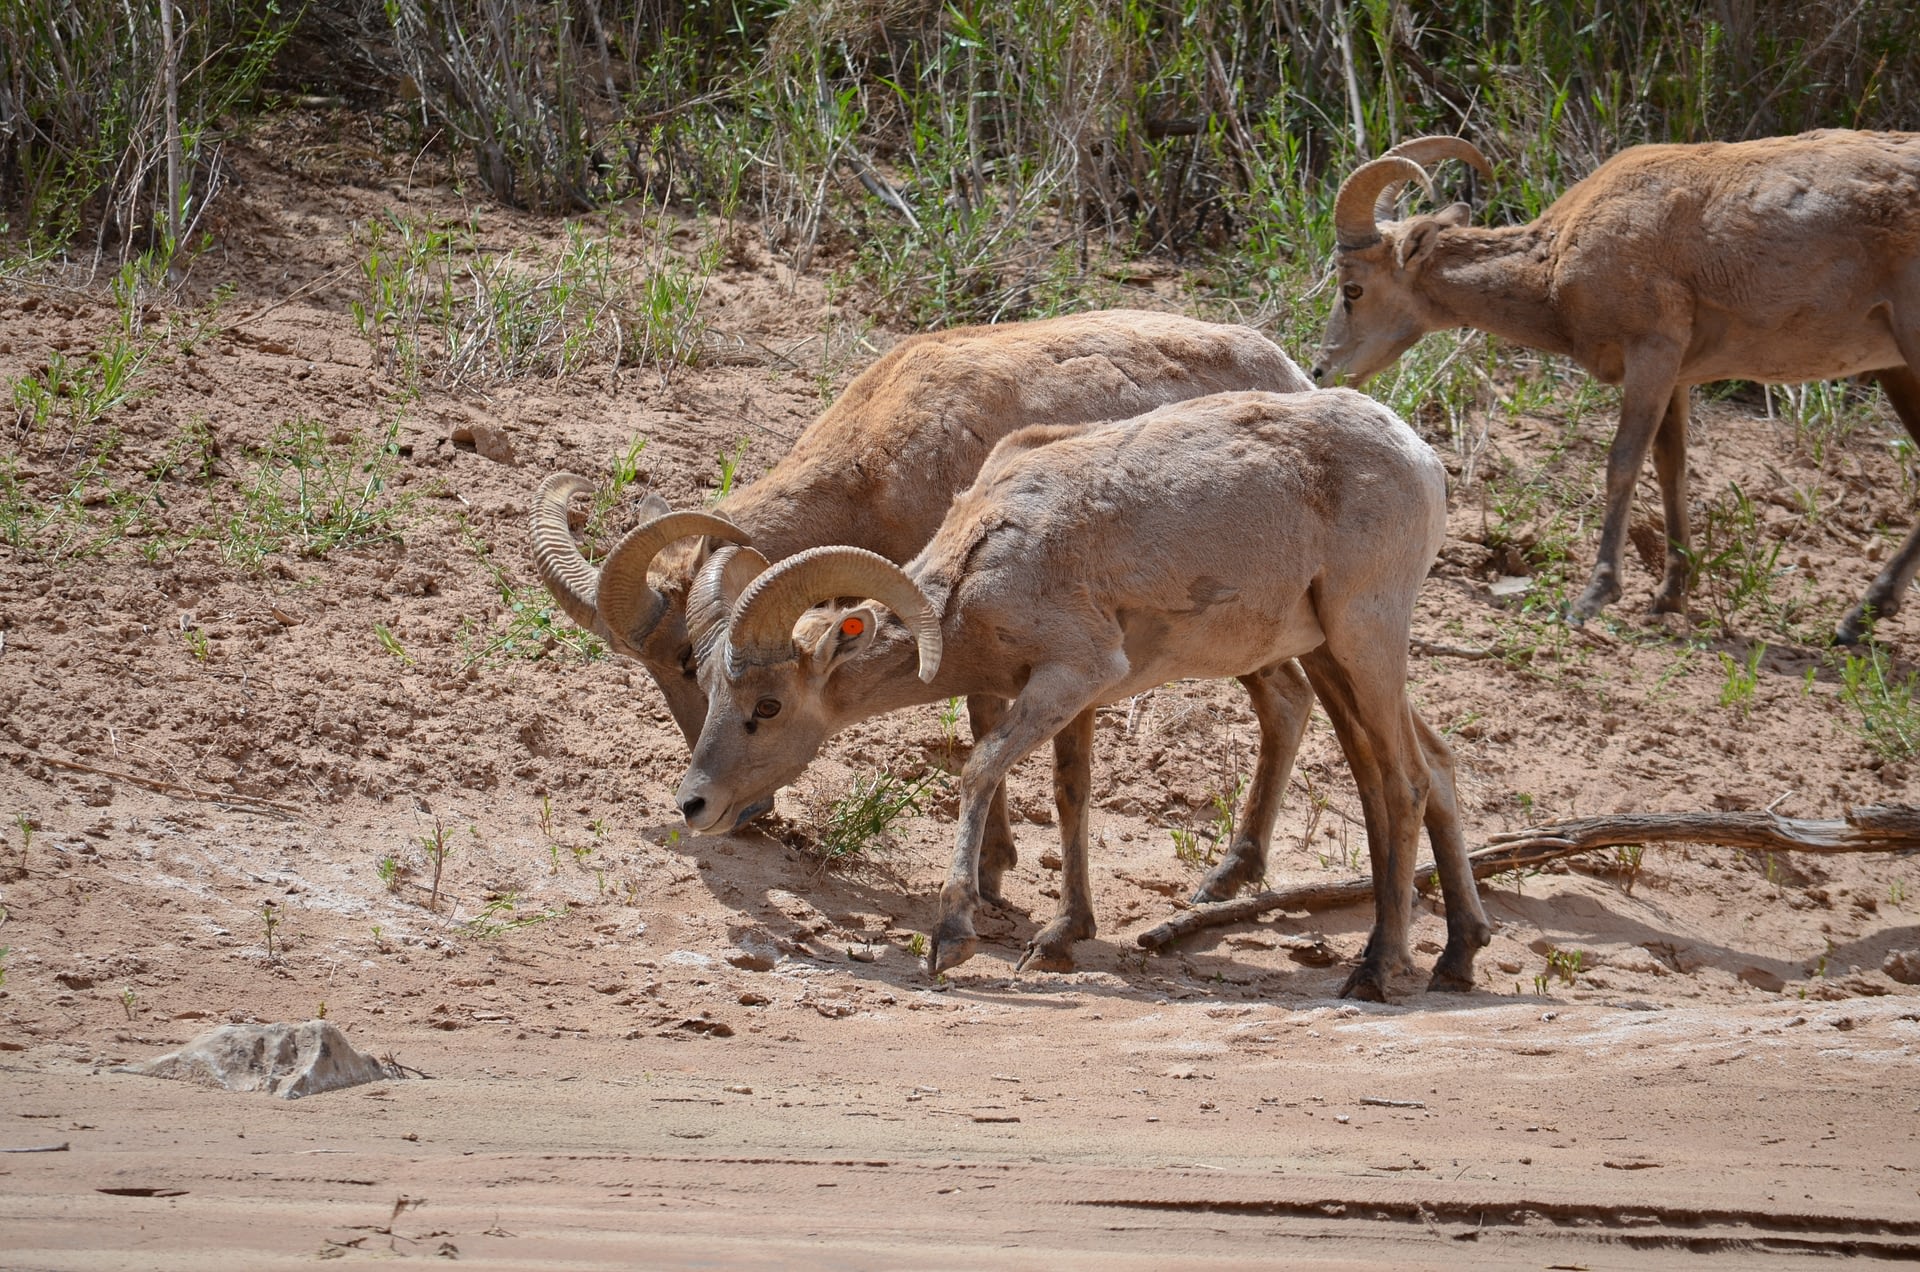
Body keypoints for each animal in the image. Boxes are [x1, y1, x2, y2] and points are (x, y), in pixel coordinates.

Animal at [533, 309, 1313, 906]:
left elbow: (981, 720)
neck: (876, 466)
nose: (726, 809)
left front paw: (991, 876)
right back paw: (1232, 875)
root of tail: (1295, 377)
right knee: (1289, 699)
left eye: (689, 663)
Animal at [675, 391, 1497, 1006]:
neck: (981, 568)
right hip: (1336, 653)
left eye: (769, 707)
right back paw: (1457, 958)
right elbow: (1072, 796)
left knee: (1405, 780)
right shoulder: (1070, 698)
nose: (694, 805)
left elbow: (980, 768)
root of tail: (1420, 455)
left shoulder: (1073, 675)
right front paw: (1060, 938)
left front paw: (953, 939)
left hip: (1365, 637)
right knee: (1427, 767)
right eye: (709, 686)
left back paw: (1376, 972)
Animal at [1313, 134, 1920, 641]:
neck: (1556, 263)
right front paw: (1669, 594)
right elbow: (1672, 466)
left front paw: (1593, 596)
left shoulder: (1652, 350)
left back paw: (1858, 616)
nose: (1323, 371)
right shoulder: (1677, 374)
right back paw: (1862, 616)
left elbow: (1624, 460)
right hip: (1899, 369)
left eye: (1353, 288)